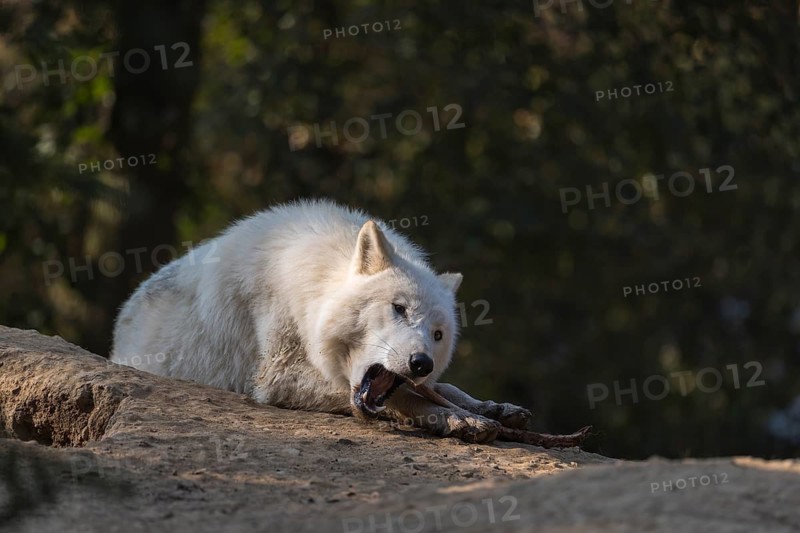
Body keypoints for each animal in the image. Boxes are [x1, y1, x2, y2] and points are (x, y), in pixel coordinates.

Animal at [111, 199, 531, 443]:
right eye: (398, 308)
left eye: (438, 334)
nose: (421, 363)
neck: (313, 288)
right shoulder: (276, 377)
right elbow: (409, 396)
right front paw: (457, 419)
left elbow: (442, 388)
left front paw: (490, 408)